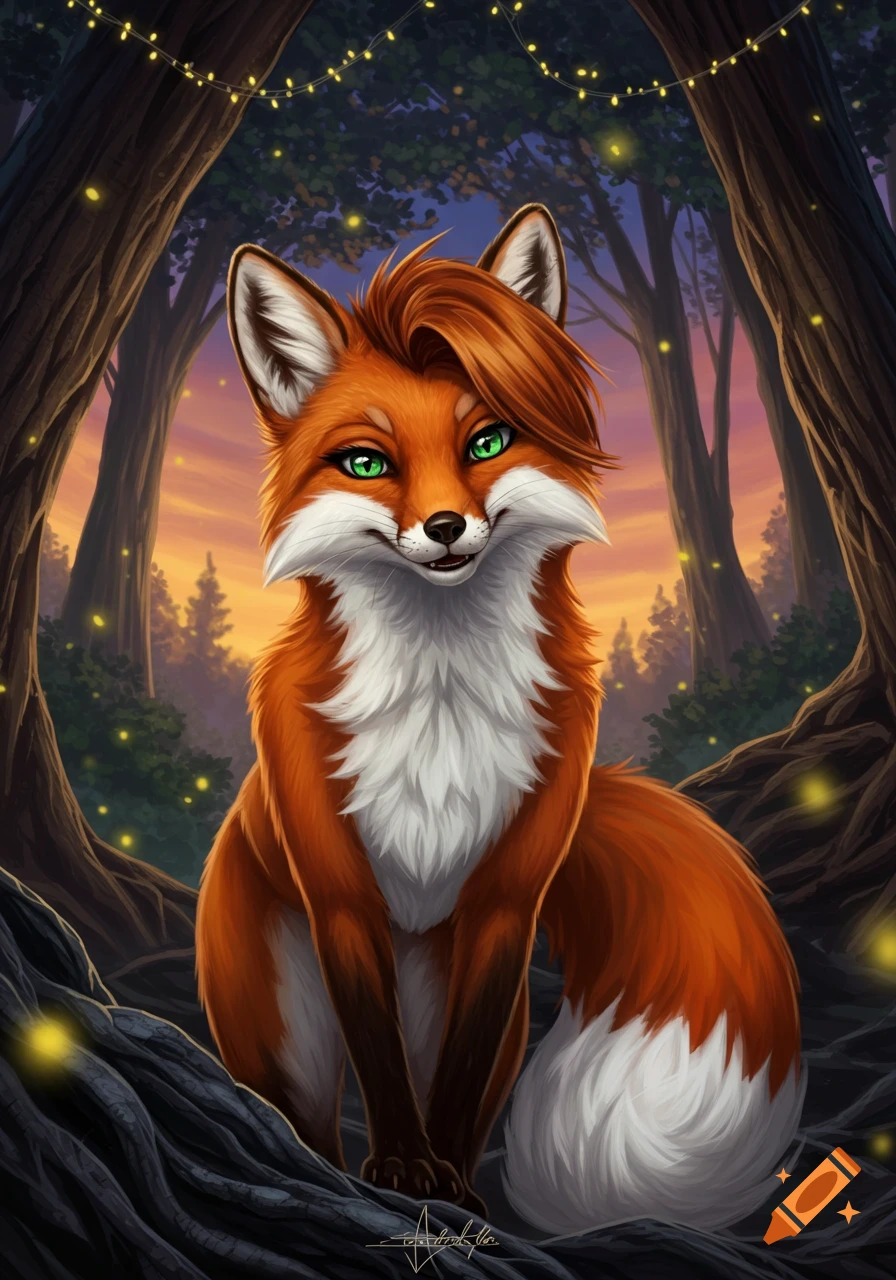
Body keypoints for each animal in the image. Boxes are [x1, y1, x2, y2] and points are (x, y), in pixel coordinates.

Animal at [195, 203, 805, 1234]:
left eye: (488, 442)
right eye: (367, 462)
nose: (446, 528)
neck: (440, 703)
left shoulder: (506, 906)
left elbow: (460, 1075)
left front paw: (441, 1179)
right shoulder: (343, 899)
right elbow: (379, 1063)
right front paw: (402, 1168)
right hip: (279, 1028)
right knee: (302, 1118)